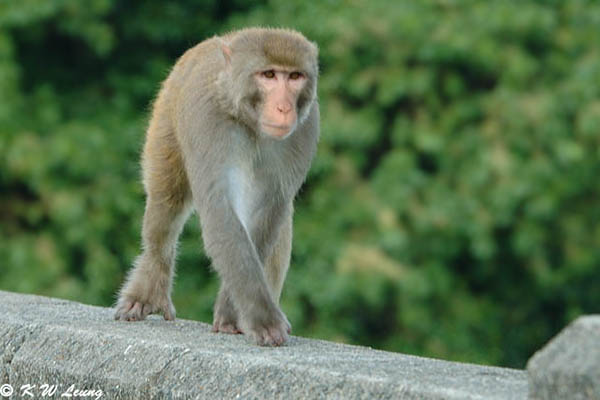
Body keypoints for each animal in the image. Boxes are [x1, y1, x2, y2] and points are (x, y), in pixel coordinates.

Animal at [113, 28, 318, 346]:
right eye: (269, 75)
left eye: (295, 76)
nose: (284, 108)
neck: (247, 120)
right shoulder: (208, 120)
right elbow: (219, 210)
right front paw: (263, 318)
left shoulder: (305, 130)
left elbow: (269, 212)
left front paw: (234, 314)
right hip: (166, 113)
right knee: (166, 204)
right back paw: (149, 289)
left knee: (281, 226)